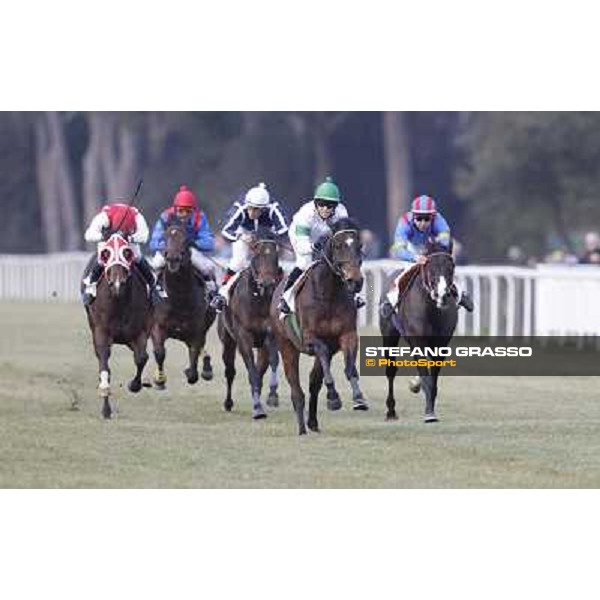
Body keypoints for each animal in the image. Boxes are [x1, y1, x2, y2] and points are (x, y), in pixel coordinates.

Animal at [81, 232, 152, 420]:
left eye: (127, 252)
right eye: (106, 253)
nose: (117, 284)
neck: (119, 302)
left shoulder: (140, 332)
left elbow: (142, 358)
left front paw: (134, 385)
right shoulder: (101, 332)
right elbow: (104, 363)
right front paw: (106, 407)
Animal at [151, 220, 217, 390]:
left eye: (186, 240)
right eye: (164, 237)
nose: (173, 258)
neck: (178, 298)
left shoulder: (196, 331)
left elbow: (193, 365)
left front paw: (191, 371)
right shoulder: (157, 326)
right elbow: (159, 352)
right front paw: (159, 379)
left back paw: (207, 368)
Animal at [218, 227, 282, 420]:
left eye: (276, 254)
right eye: (256, 252)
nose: (267, 283)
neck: (259, 299)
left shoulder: (271, 334)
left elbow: (274, 361)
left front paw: (272, 395)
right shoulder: (243, 336)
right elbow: (251, 372)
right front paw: (257, 408)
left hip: (261, 346)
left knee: (261, 368)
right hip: (228, 341)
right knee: (230, 371)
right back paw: (228, 403)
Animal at [270, 218, 366, 434]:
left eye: (359, 246)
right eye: (338, 245)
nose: (355, 281)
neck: (328, 294)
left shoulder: (347, 335)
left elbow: (350, 368)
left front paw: (358, 398)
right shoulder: (310, 338)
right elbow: (321, 350)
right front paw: (333, 397)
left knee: (314, 383)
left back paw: (312, 422)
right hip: (286, 346)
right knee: (296, 388)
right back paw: (301, 428)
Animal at [380, 244, 460, 422]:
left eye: (451, 268)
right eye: (430, 269)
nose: (442, 295)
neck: (432, 310)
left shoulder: (440, 345)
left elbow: (433, 378)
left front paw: (430, 408)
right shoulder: (418, 340)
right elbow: (426, 376)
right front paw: (429, 413)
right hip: (389, 333)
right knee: (390, 371)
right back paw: (391, 411)